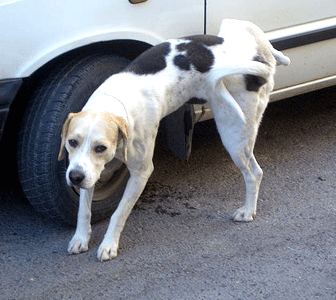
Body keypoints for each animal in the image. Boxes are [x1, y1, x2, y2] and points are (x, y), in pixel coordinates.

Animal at [57, 19, 288, 262]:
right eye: (72, 142)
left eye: (100, 147)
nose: (74, 177)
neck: (115, 103)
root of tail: (261, 54)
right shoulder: (88, 171)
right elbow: (84, 209)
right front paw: (80, 237)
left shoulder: (141, 172)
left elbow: (119, 213)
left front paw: (109, 243)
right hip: (233, 27)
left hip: (233, 134)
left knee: (253, 173)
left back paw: (248, 210)